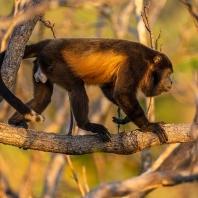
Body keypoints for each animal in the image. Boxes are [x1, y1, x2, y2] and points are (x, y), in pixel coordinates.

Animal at [0, 38, 173, 142]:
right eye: (168, 74)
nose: (171, 81)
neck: (149, 61)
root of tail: (49, 43)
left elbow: (109, 89)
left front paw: (125, 119)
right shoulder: (136, 63)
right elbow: (122, 93)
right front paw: (148, 126)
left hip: (42, 64)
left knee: (42, 98)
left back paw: (14, 122)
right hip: (53, 61)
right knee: (76, 86)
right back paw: (86, 125)